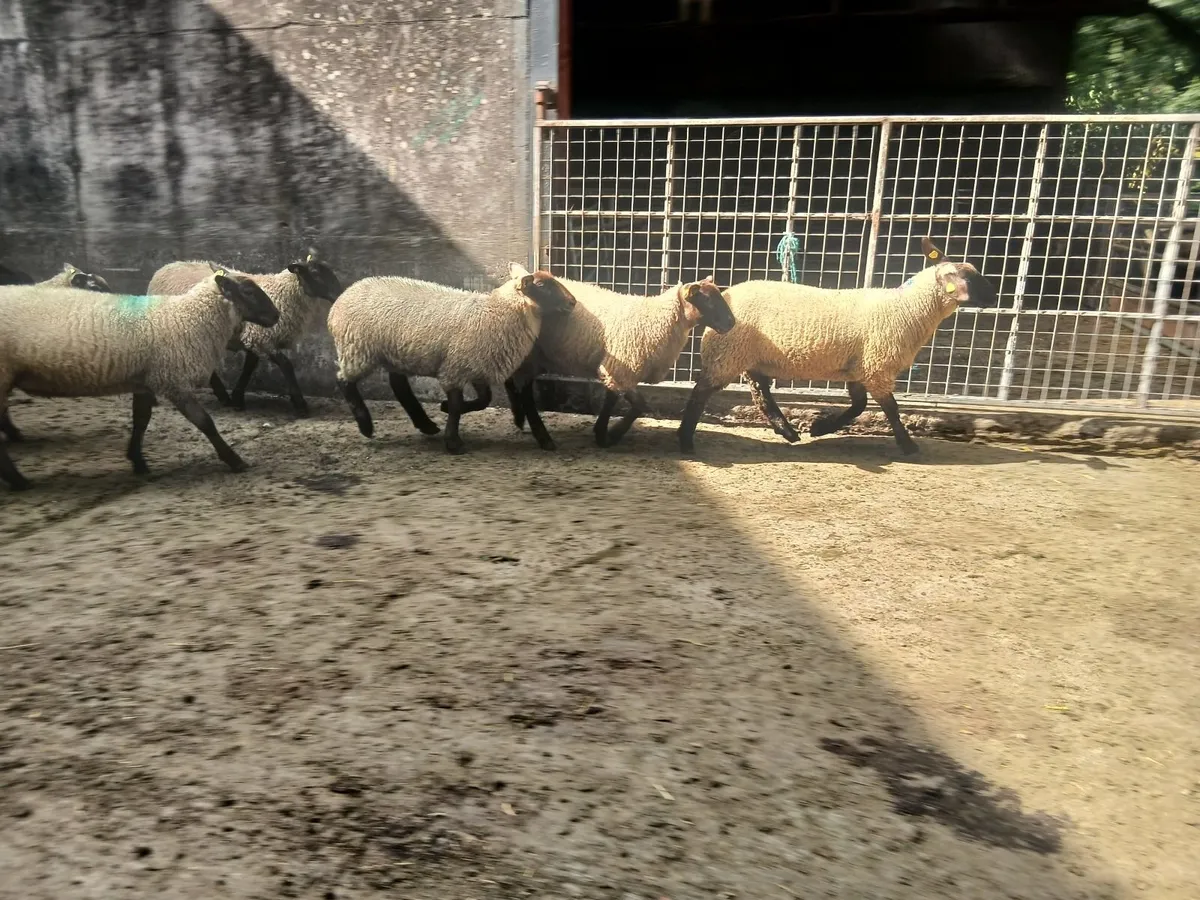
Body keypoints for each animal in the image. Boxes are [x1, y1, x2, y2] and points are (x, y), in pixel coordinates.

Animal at [0, 270, 280, 491]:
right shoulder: (173, 380)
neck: (187, 318)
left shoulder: (146, 381)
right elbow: (205, 422)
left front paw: (137, 460)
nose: (276, 316)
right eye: (248, 291)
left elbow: (141, 421)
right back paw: (19, 481)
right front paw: (235, 460)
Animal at [147, 253, 343, 416]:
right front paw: (300, 404)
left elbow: (249, 367)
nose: (339, 295)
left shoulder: (254, 338)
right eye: (316, 273)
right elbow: (286, 365)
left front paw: (238, 398)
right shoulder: (262, 338)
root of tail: (163, 268)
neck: (285, 293)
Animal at [327, 270, 576, 454]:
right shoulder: (454, 368)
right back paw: (366, 425)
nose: (572, 302)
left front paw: (445, 409)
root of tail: (341, 299)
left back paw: (425, 424)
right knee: (343, 381)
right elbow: (458, 405)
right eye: (542, 286)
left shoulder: (475, 365)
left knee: (398, 385)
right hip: (358, 349)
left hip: (394, 353)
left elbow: (484, 400)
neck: (496, 312)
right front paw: (453, 442)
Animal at [488, 265, 736, 447]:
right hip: (530, 354)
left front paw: (607, 432)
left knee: (513, 383)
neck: (659, 319)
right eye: (707, 299)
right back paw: (541, 435)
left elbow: (630, 403)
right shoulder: (621, 367)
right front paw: (608, 435)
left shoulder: (621, 369)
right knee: (524, 391)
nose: (732, 323)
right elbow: (628, 404)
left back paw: (519, 419)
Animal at [677, 237, 999, 456]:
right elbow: (891, 409)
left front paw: (821, 428)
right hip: (727, 354)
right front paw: (908, 446)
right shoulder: (877, 365)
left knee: (761, 394)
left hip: (751, 357)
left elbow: (859, 406)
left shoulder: (861, 368)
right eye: (968, 277)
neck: (908, 309)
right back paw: (685, 438)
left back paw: (788, 431)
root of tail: (728, 293)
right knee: (701, 392)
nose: (995, 296)